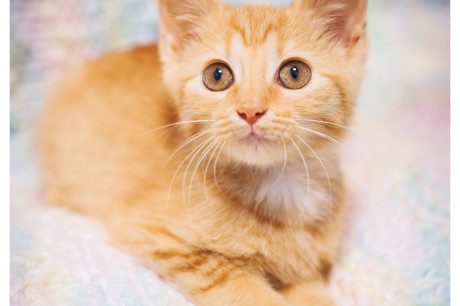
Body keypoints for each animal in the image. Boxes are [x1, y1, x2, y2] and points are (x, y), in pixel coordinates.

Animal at [36, 0, 366, 304]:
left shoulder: (307, 266)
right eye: (217, 76)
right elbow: (232, 279)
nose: (250, 110)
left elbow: (311, 290)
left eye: (295, 73)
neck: (279, 185)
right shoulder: (152, 233)